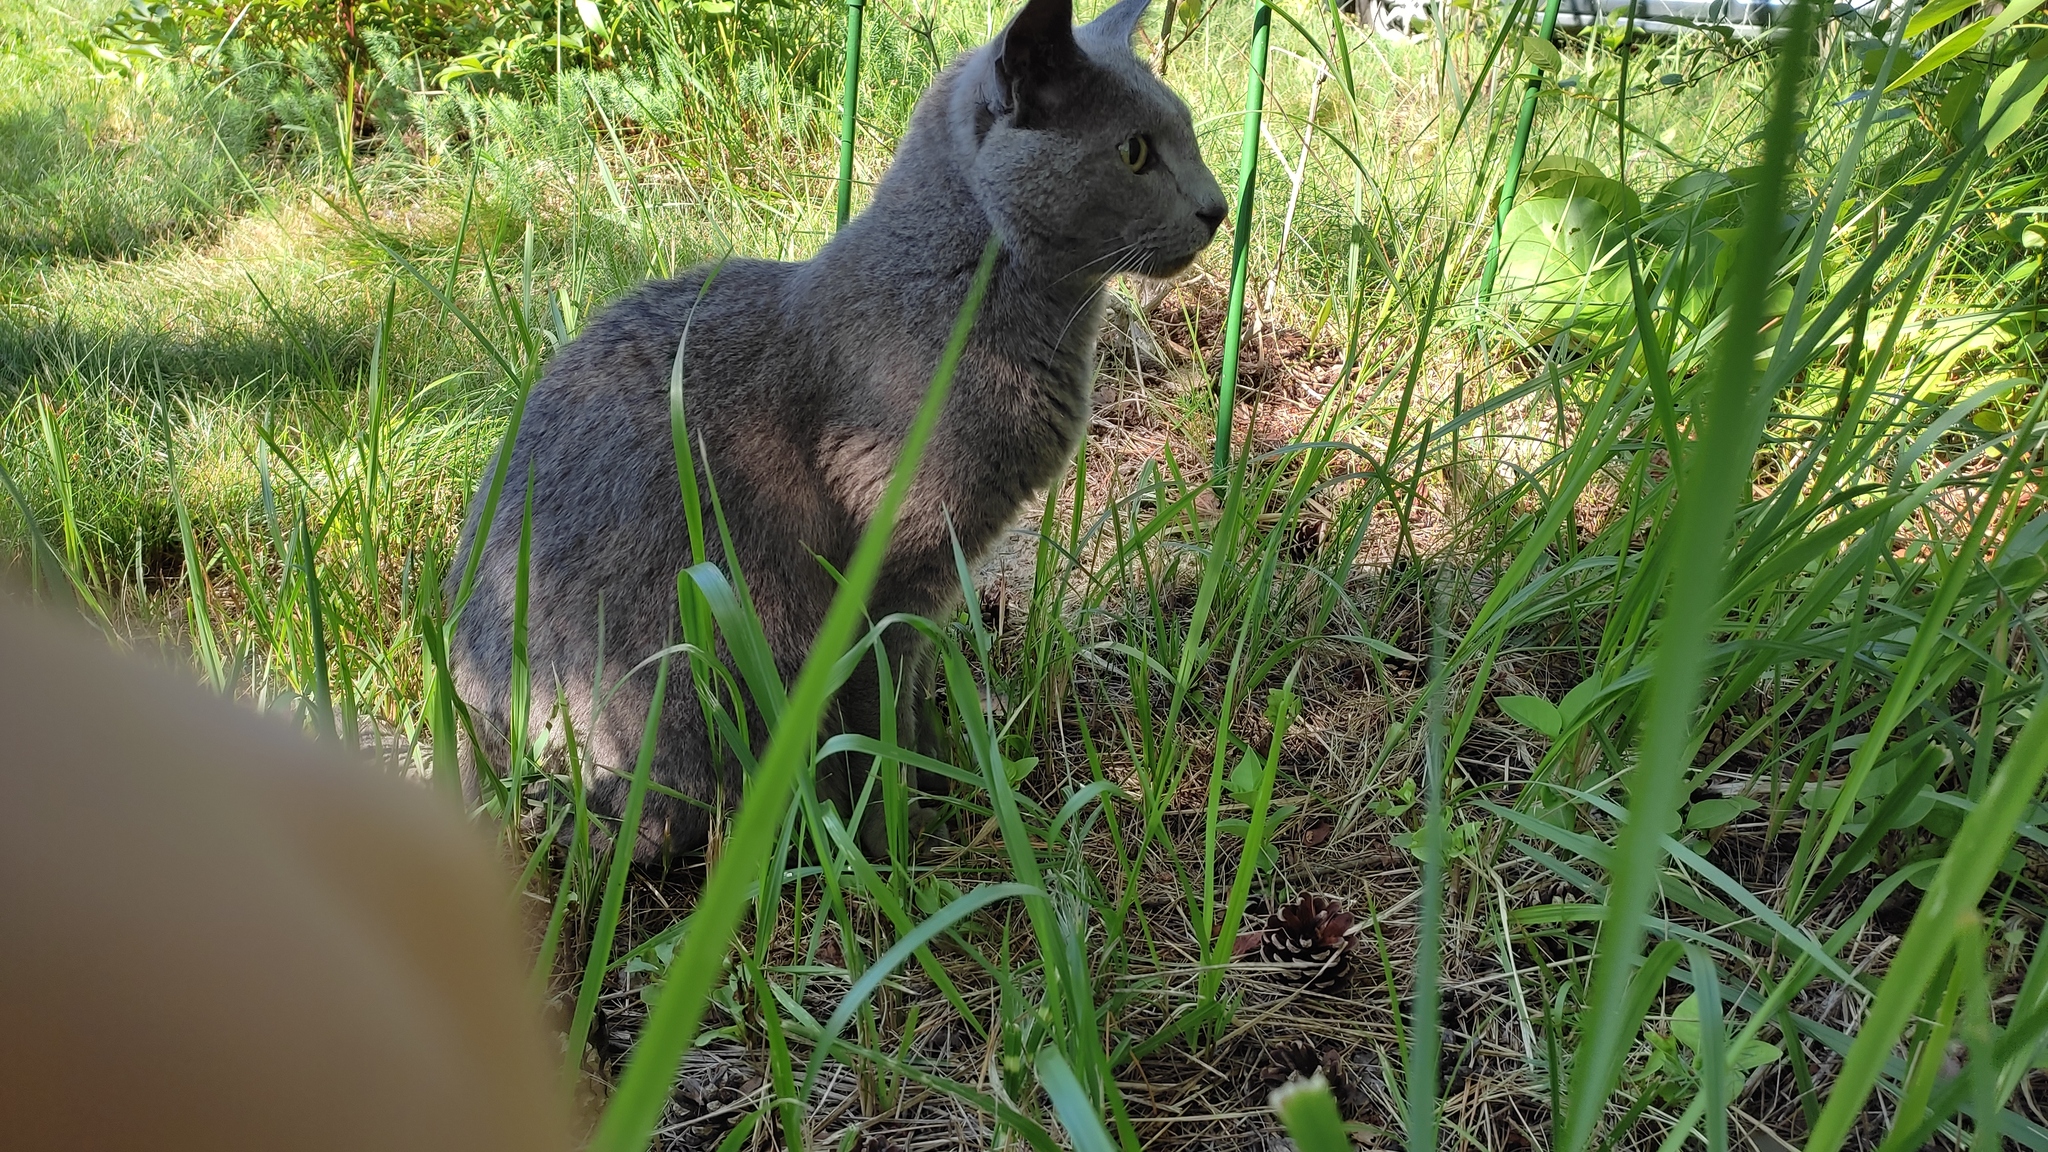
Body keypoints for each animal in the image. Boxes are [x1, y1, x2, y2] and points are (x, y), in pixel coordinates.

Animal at [444, 0, 1212, 856]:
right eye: (1135, 152)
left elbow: (912, 695)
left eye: (1187, 134)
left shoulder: (936, 581)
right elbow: (877, 713)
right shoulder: (887, 572)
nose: (1219, 207)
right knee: (631, 822)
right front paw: (897, 844)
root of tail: (463, 683)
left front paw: (945, 782)